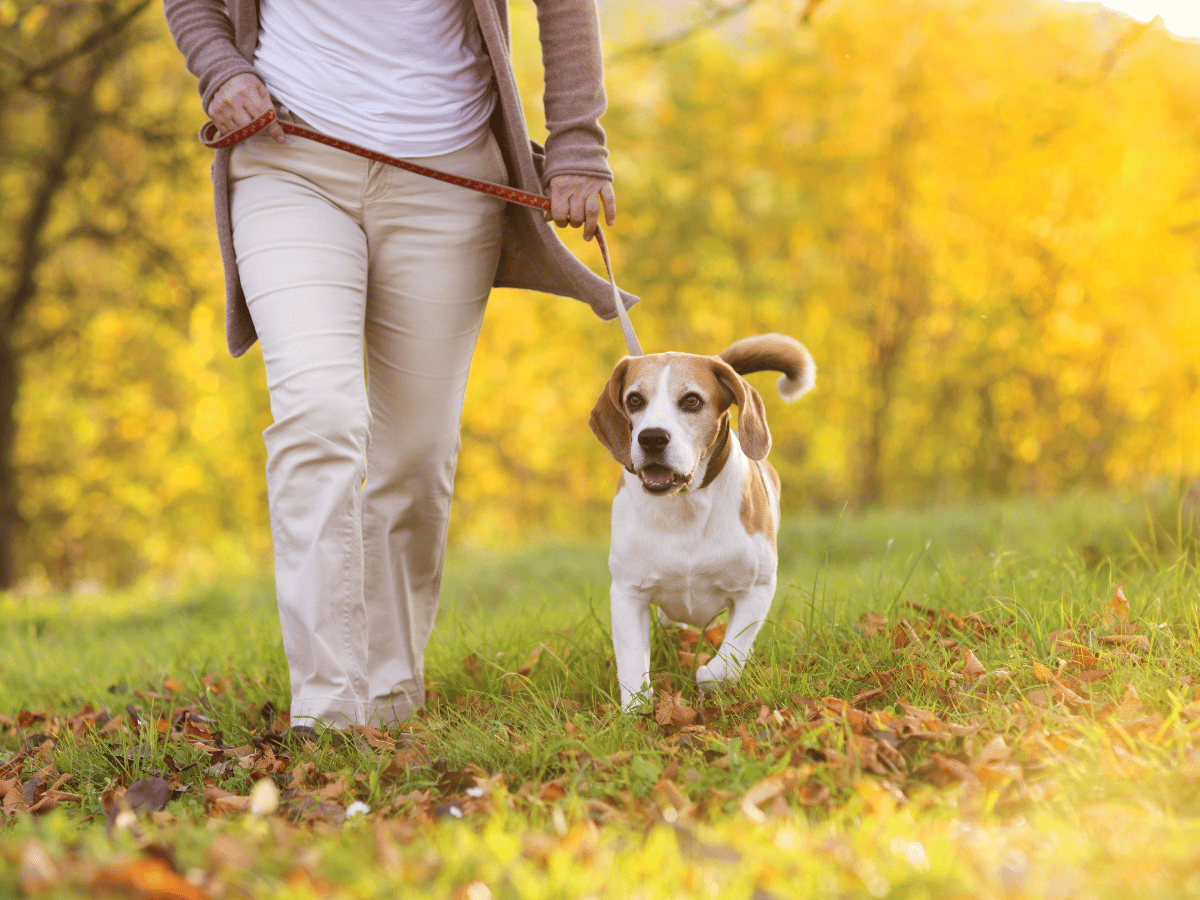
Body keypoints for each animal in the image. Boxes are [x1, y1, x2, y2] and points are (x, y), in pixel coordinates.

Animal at [588, 336, 816, 715]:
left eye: (692, 400)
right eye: (634, 400)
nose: (651, 438)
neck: (684, 506)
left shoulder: (757, 589)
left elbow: (731, 655)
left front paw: (709, 676)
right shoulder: (627, 593)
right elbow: (633, 663)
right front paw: (636, 712)